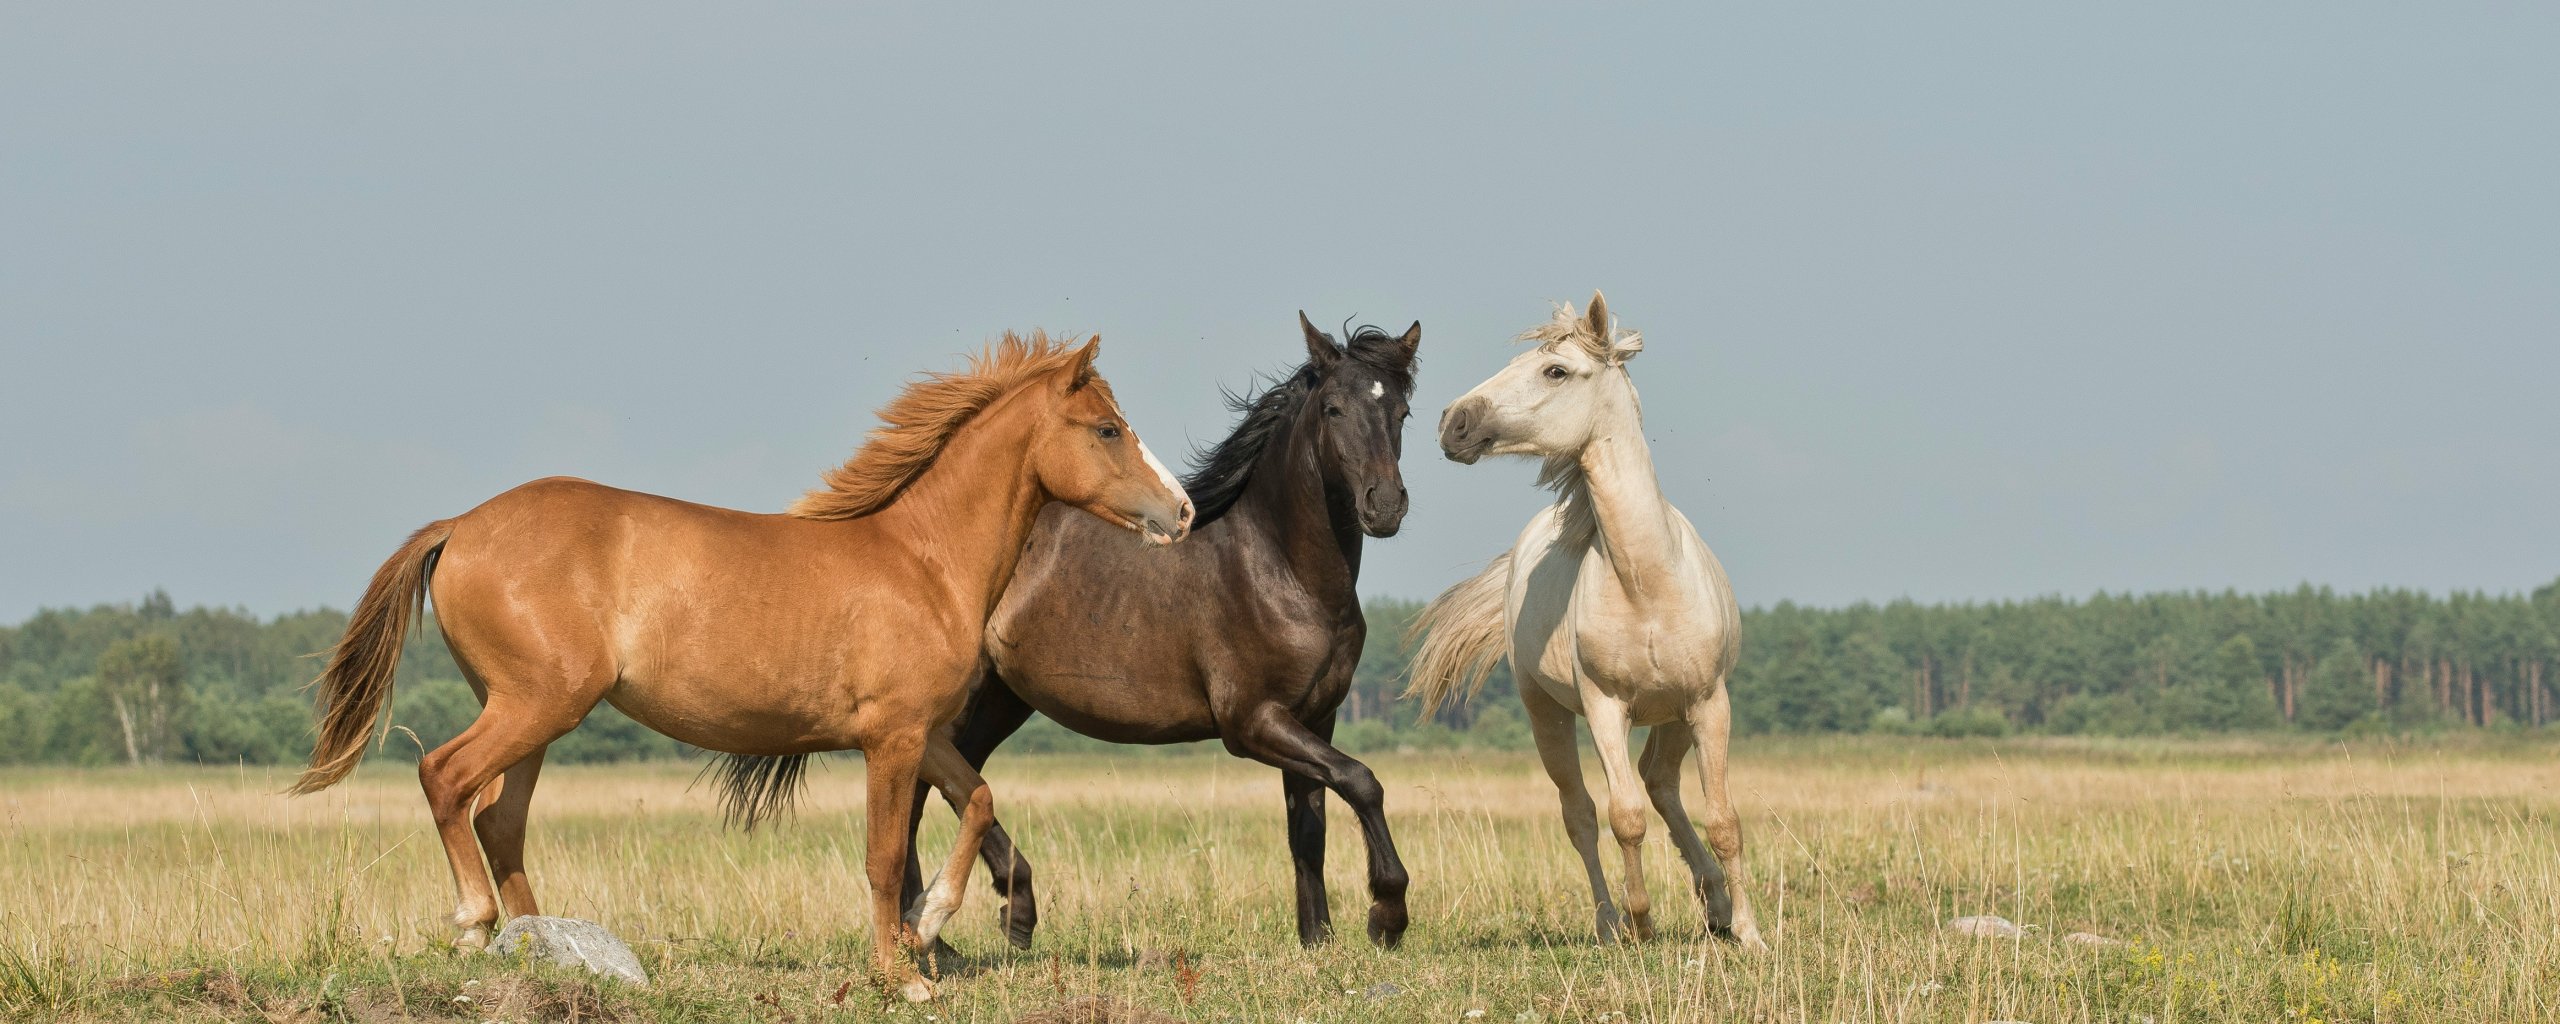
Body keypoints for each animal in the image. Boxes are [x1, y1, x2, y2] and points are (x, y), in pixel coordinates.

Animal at [290, 333, 1194, 1001]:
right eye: (1107, 428)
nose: (1181, 512)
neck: (923, 561)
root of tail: (461, 525)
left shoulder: (924, 733)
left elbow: (977, 801)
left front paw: (929, 925)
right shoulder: (891, 740)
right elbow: (881, 856)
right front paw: (900, 975)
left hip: (533, 716)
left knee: (498, 819)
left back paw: (544, 948)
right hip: (534, 705)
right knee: (445, 778)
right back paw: (476, 927)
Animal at [895, 314, 1421, 951]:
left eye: (1401, 412)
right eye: (1334, 409)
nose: (1385, 505)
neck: (1281, 570)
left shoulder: (1316, 717)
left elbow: (1309, 830)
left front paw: (1317, 939)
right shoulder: (1252, 722)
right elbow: (1362, 780)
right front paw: (1386, 914)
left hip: (1002, 699)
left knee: (954, 784)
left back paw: (989, 919)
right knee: (919, 794)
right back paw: (940, 930)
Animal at [1406, 292, 1766, 949]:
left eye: (1556, 370)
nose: (1453, 422)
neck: (1648, 583)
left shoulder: (1709, 703)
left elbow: (1724, 818)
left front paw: (1750, 934)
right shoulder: (1605, 708)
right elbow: (1623, 818)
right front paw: (1642, 922)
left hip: (1675, 715)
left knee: (1661, 784)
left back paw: (1716, 904)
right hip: (1546, 713)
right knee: (1582, 813)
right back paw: (1610, 922)